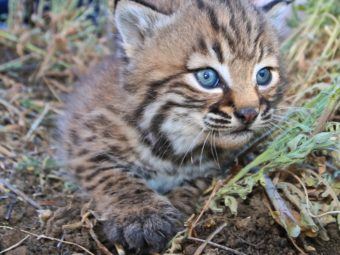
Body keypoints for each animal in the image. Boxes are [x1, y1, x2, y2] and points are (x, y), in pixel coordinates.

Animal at [57, 0, 290, 254]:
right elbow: (115, 177)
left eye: (263, 75)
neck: (175, 139)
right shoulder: (83, 143)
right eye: (207, 77)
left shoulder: (210, 167)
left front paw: (176, 205)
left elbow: (193, 184)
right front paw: (143, 216)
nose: (249, 114)